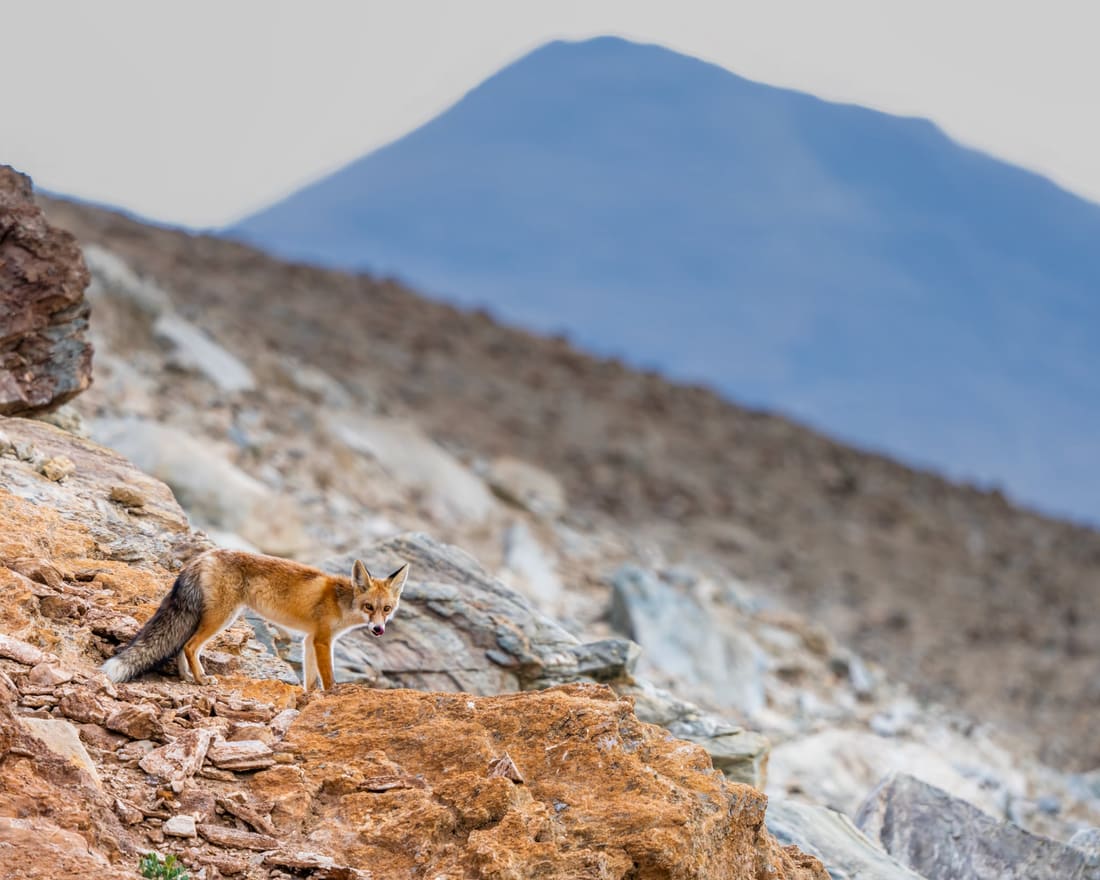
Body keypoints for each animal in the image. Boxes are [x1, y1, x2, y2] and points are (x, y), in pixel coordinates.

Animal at [101, 549, 409, 692]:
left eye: (387, 609)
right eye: (369, 607)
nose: (378, 629)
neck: (341, 601)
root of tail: (203, 556)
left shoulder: (309, 639)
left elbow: (310, 681)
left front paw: (310, 698)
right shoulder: (323, 640)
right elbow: (329, 678)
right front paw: (332, 695)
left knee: (181, 646)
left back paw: (187, 677)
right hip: (223, 617)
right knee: (189, 646)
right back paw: (200, 679)